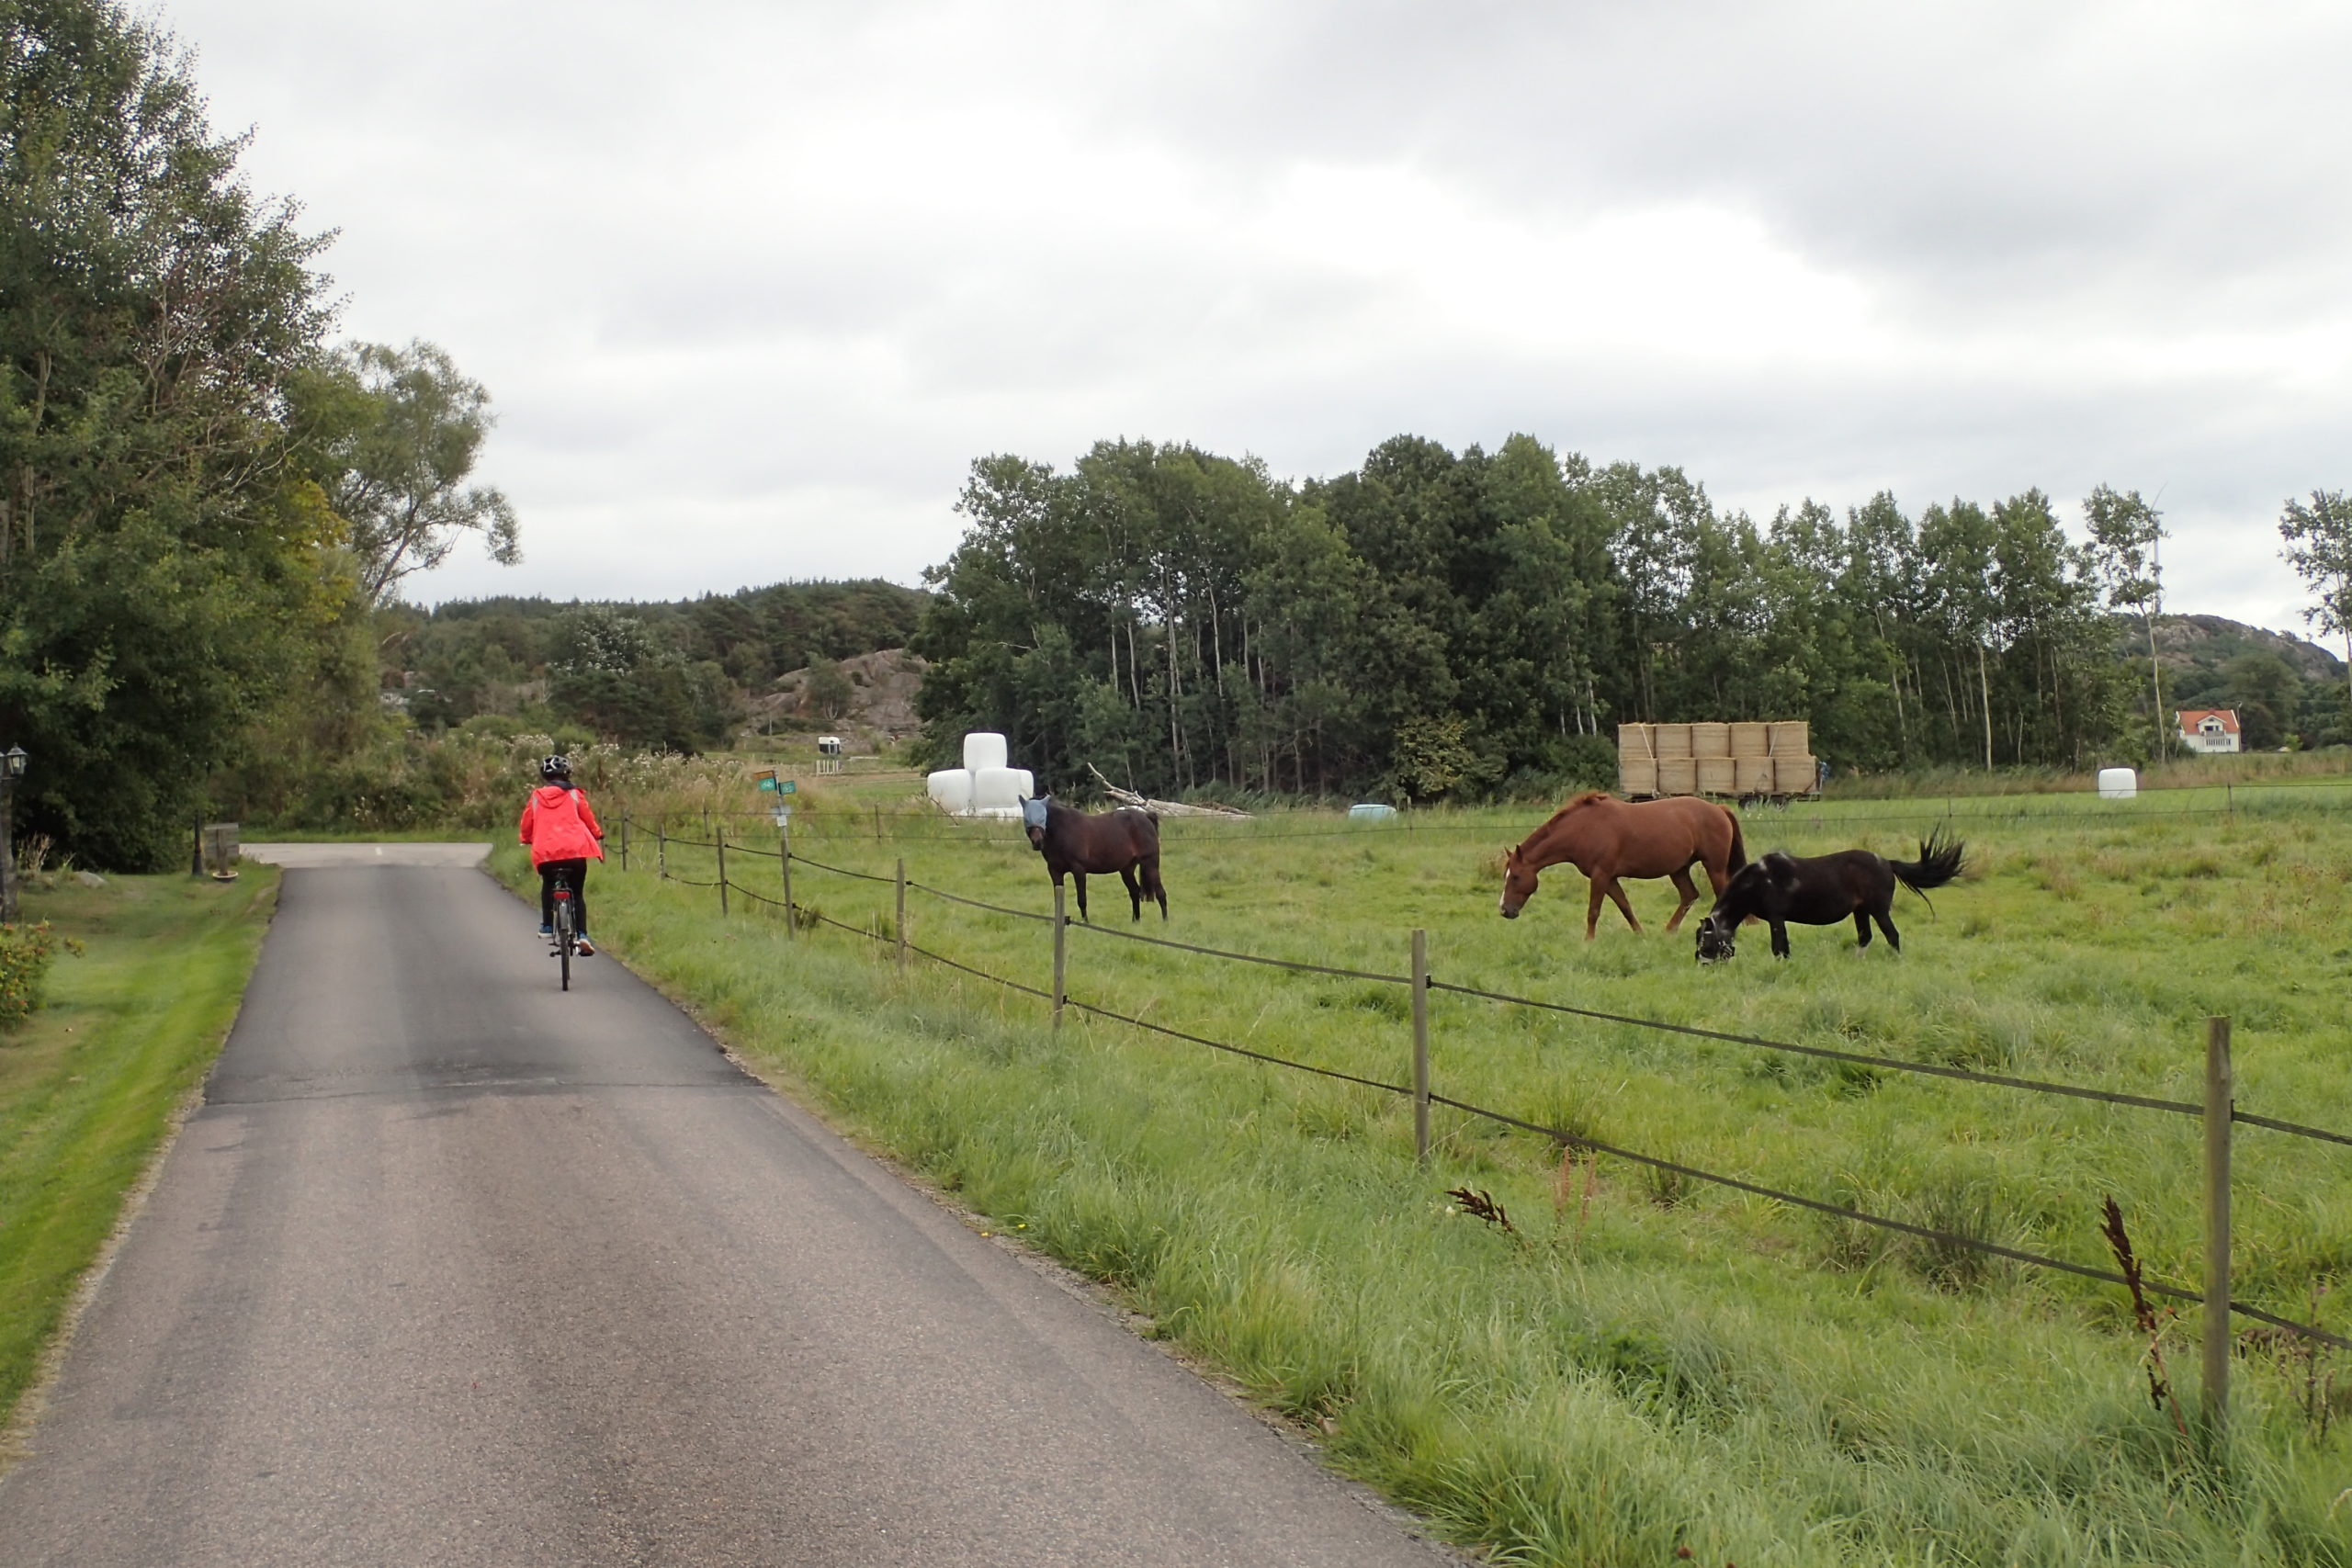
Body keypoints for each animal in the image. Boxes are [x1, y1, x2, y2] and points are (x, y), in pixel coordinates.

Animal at [1011, 799, 1166, 921]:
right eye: (1026, 818)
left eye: (1043, 817)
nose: (1037, 842)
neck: (1063, 831)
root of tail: (1146, 817)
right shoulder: (1055, 871)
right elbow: (1058, 900)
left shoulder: (1078, 870)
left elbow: (1082, 900)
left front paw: (1085, 922)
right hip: (1126, 869)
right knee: (1135, 892)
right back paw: (1135, 921)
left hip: (1150, 864)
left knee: (1160, 893)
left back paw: (1165, 922)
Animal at [1505, 789, 1749, 940]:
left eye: (1515, 876)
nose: (1505, 910)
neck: (1583, 828)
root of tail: (1719, 809)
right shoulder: (1610, 878)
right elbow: (1625, 907)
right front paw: (1640, 935)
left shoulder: (1601, 875)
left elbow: (1593, 911)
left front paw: (1588, 941)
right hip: (1679, 869)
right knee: (1689, 895)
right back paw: (1668, 932)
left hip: (1714, 866)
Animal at [1693, 827, 1966, 964]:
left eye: (1706, 942)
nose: (1703, 965)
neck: (1760, 879)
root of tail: (1887, 863)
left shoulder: (1776, 918)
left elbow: (1779, 948)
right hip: (1861, 911)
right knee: (1865, 937)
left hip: (1878, 910)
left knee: (1892, 936)